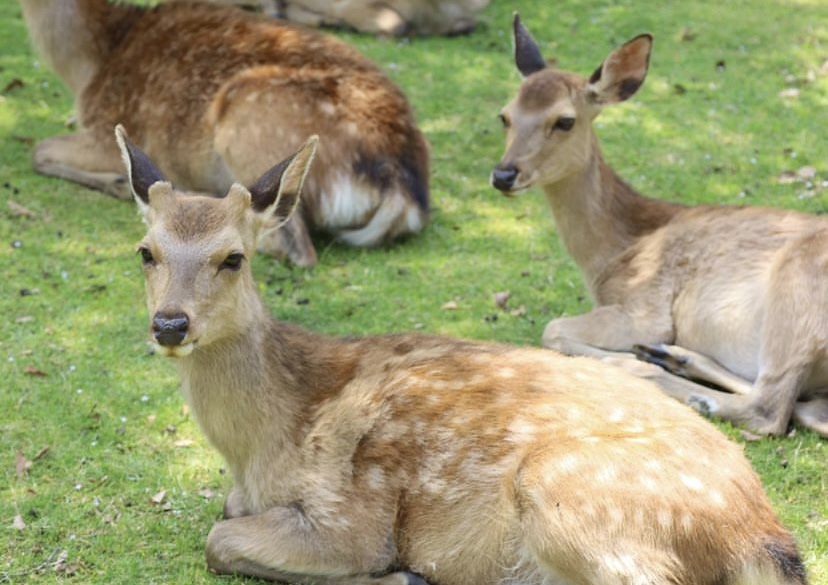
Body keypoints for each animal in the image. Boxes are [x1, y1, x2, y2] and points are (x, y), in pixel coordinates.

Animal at [20, 0, 430, 266]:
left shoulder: (109, 129)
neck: (90, 65)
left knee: (291, 246)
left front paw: (121, 183)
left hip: (248, 113)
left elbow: (39, 151)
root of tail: (404, 188)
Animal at [116, 124, 808, 584]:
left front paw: (400, 573)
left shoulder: (351, 514)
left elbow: (221, 538)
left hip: (567, 488)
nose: (170, 323)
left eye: (233, 257)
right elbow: (226, 517)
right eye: (146, 251)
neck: (263, 444)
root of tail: (762, 537)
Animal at [492, 13, 828, 438]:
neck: (615, 252)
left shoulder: (646, 307)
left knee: (770, 409)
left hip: (798, 286)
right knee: (807, 408)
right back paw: (670, 357)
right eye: (505, 115)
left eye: (565, 120)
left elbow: (552, 328)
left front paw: (623, 358)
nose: (503, 175)